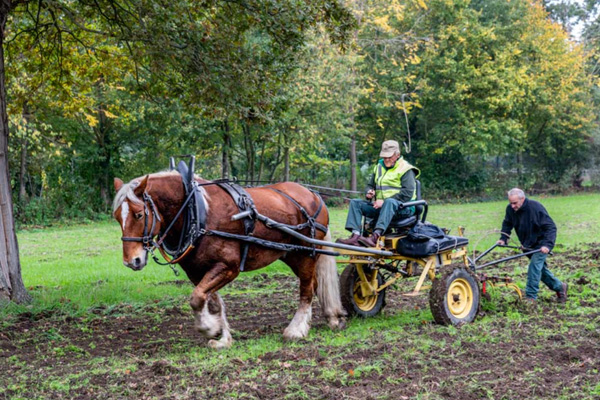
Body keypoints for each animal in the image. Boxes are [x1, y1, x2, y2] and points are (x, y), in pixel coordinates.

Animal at [113, 173, 346, 348]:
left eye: (139, 214)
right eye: (117, 217)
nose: (131, 261)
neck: (197, 211)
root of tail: (313, 194)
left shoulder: (228, 267)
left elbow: (197, 298)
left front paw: (209, 329)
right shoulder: (197, 271)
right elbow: (210, 301)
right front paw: (221, 336)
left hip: (307, 252)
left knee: (306, 289)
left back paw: (296, 329)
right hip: (292, 254)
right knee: (314, 284)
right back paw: (332, 317)